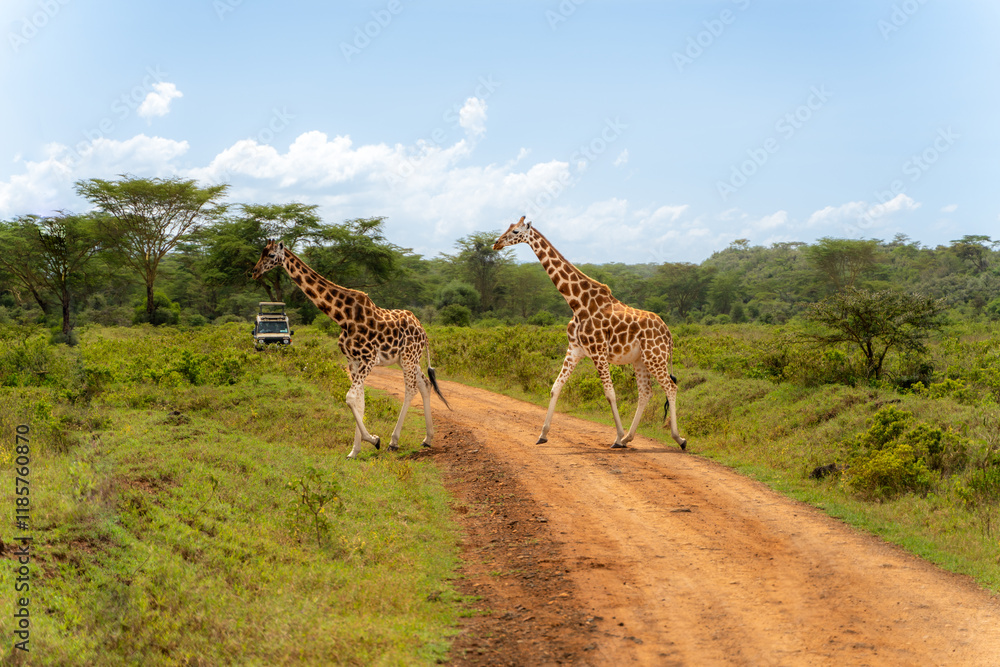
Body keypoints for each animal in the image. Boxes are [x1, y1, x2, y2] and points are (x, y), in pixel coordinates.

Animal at [252, 239, 450, 459]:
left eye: (271, 255)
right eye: (261, 253)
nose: (254, 271)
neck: (342, 317)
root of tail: (423, 330)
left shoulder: (369, 359)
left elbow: (350, 397)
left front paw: (374, 440)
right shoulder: (353, 361)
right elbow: (359, 401)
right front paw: (354, 451)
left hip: (408, 357)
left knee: (411, 388)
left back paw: (394, 442)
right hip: (408, 358)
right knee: (425, 384)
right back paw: (427, 439)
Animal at [493, 217, 686, 450]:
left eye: (515, 231)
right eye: (508, 227)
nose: (496, 243)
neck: (577, 303)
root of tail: (668, 333)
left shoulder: (598, 351)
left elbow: (610, 394)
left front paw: (617, 438)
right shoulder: (574, 350)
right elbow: (556, 387)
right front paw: (542, 435)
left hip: (655, 357)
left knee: (671, 387)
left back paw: (678, 439)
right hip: (640, 359)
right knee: (646, 392)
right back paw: (630, 438)